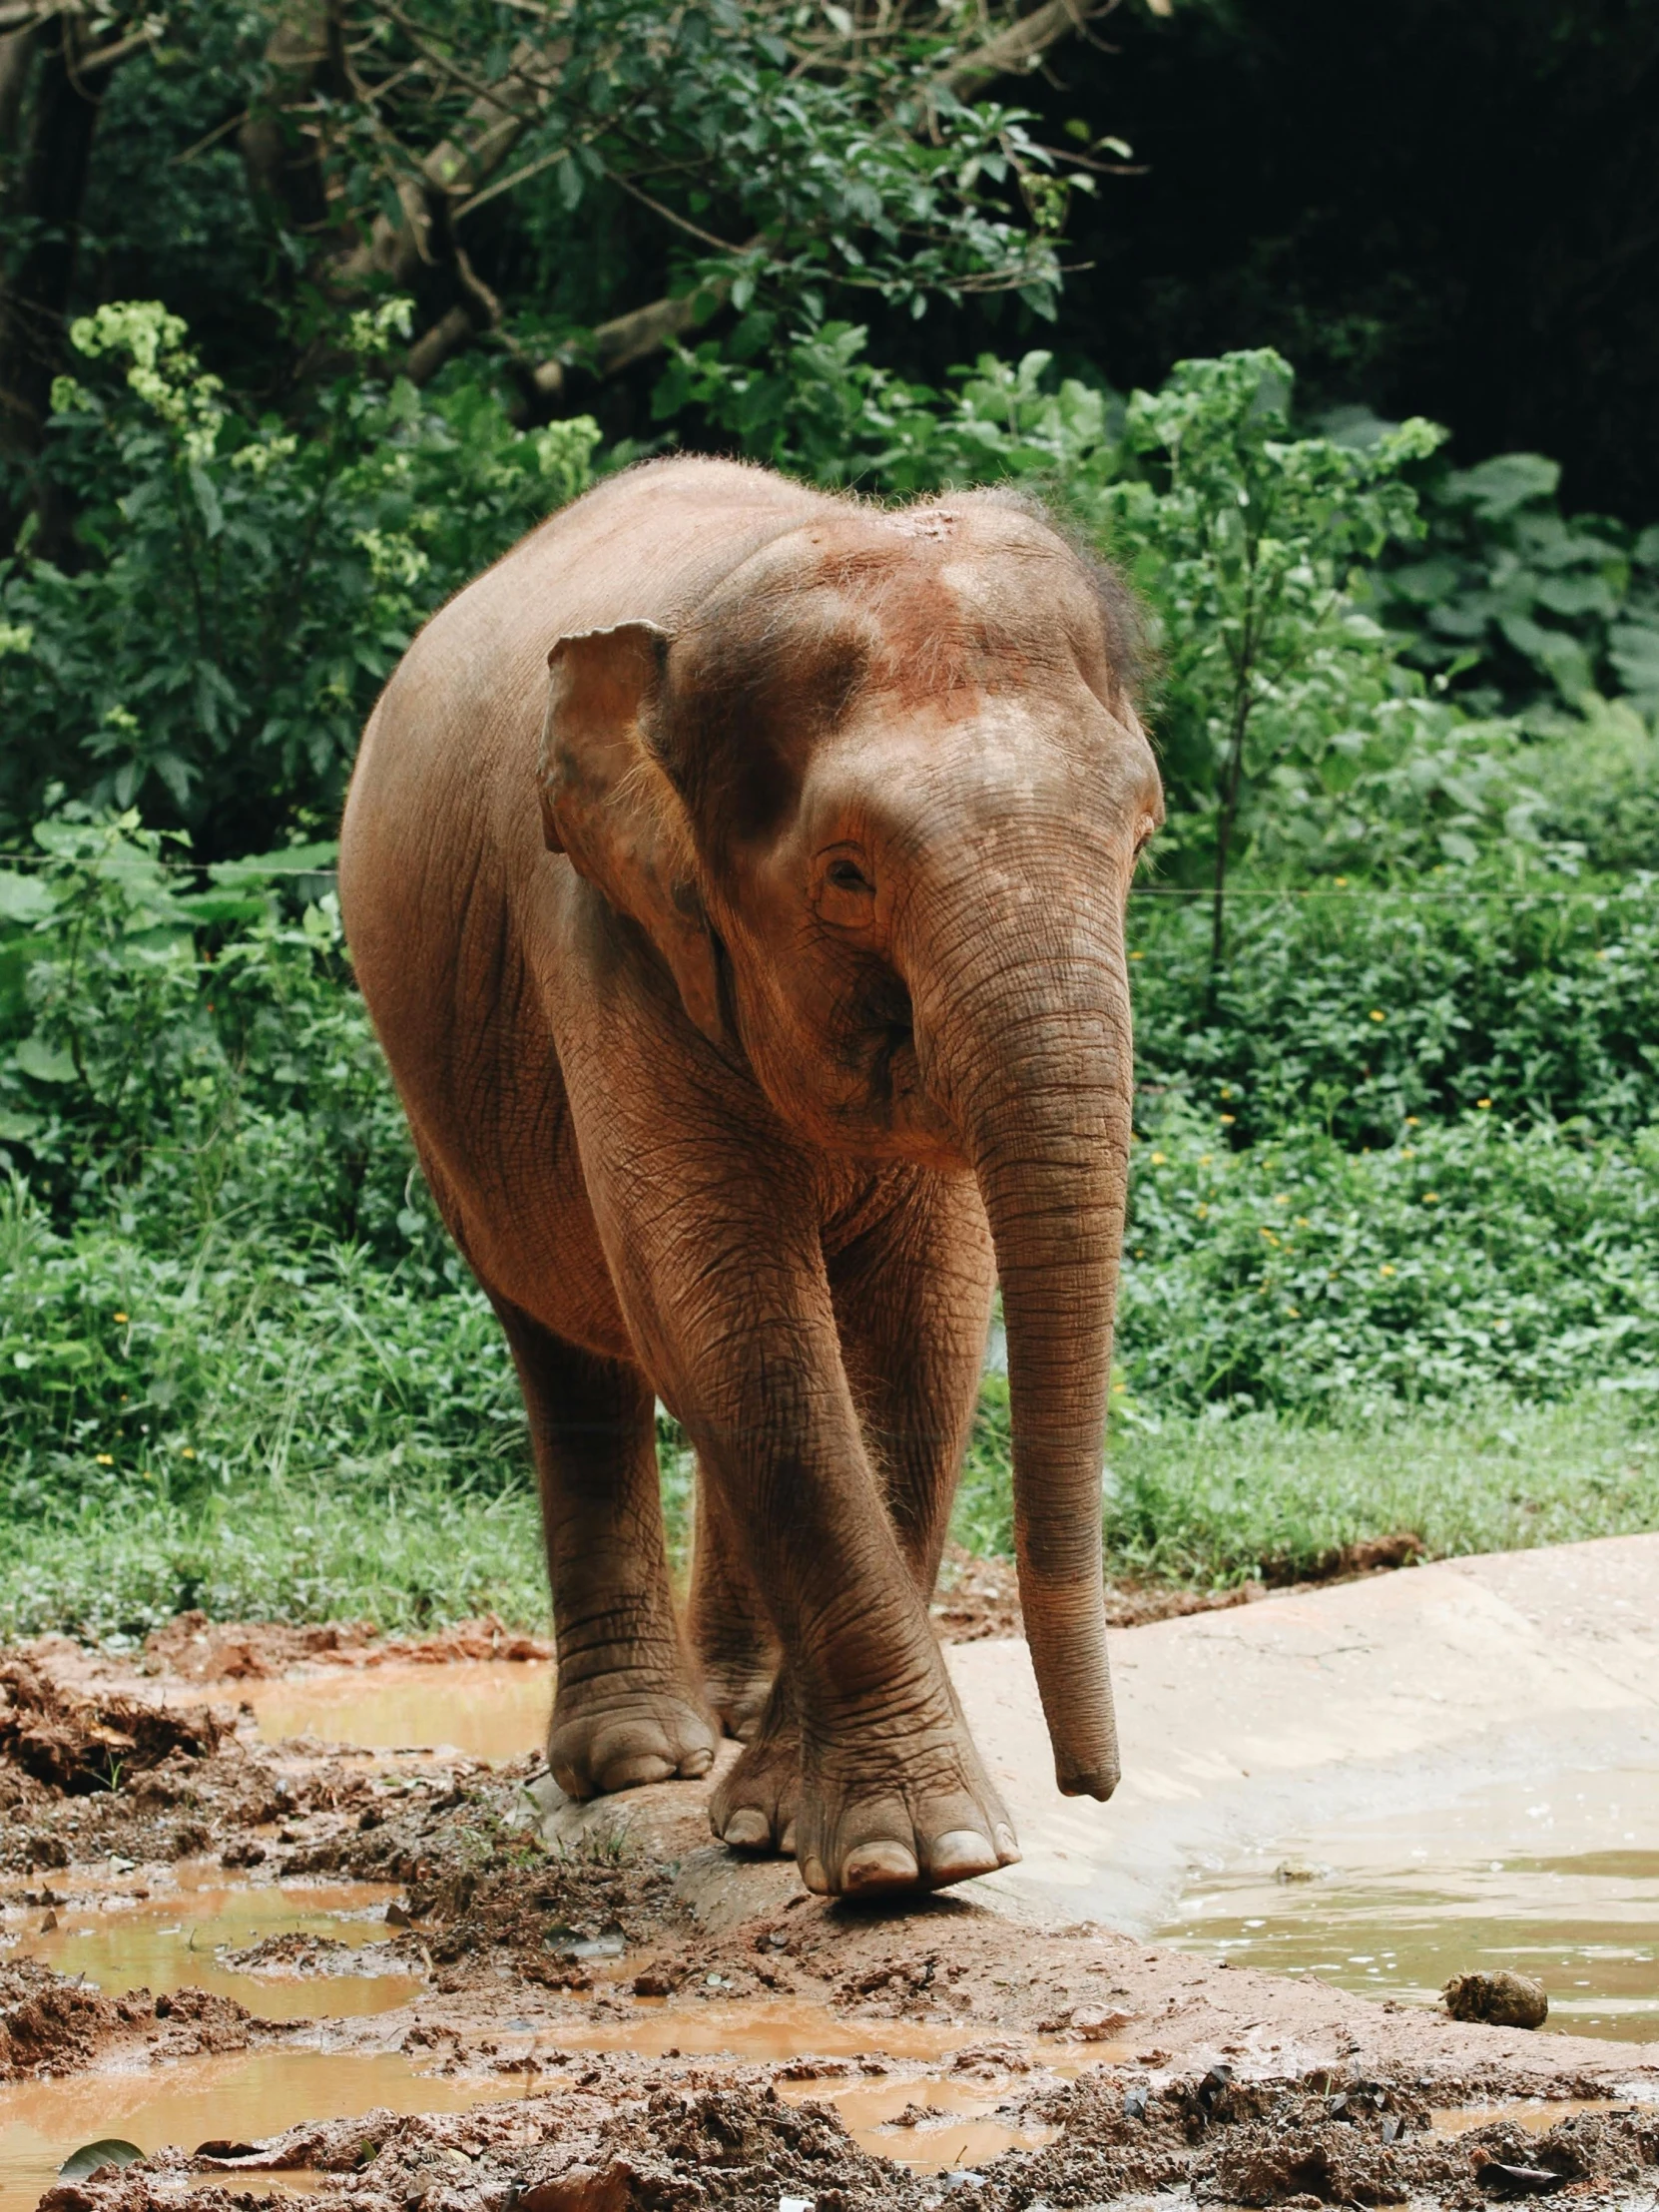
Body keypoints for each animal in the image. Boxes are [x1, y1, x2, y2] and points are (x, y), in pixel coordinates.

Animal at [338, 453, 1168, 1902]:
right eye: (845, 874)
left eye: (1141, 833)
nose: (1093, 1785)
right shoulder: (604, 933)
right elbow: (728, 1309)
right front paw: (917, 1856)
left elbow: (917, 1331)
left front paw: (805, 1831)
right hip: (437, 1080)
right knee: (572, 1350)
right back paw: (637, 1759)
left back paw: (725, 1723)